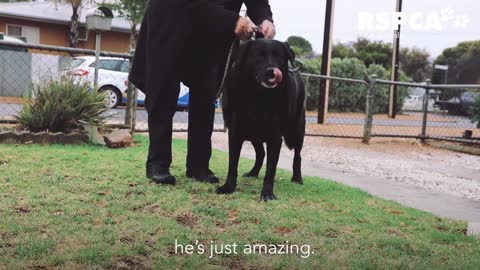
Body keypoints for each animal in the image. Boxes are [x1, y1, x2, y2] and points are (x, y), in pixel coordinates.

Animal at [217, 39, 306, 201]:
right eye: (258, 56)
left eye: (278, 56)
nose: (272, 71)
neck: (258, 97)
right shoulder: (235, 133)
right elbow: (232, 165)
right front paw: (228, 187)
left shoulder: (275, 138)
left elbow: (270, 170)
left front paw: (267, 193)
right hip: (254, 134)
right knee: (260, 154)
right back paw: (253, 172)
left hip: (296, 132)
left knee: (298, 156)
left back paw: (297, 178)